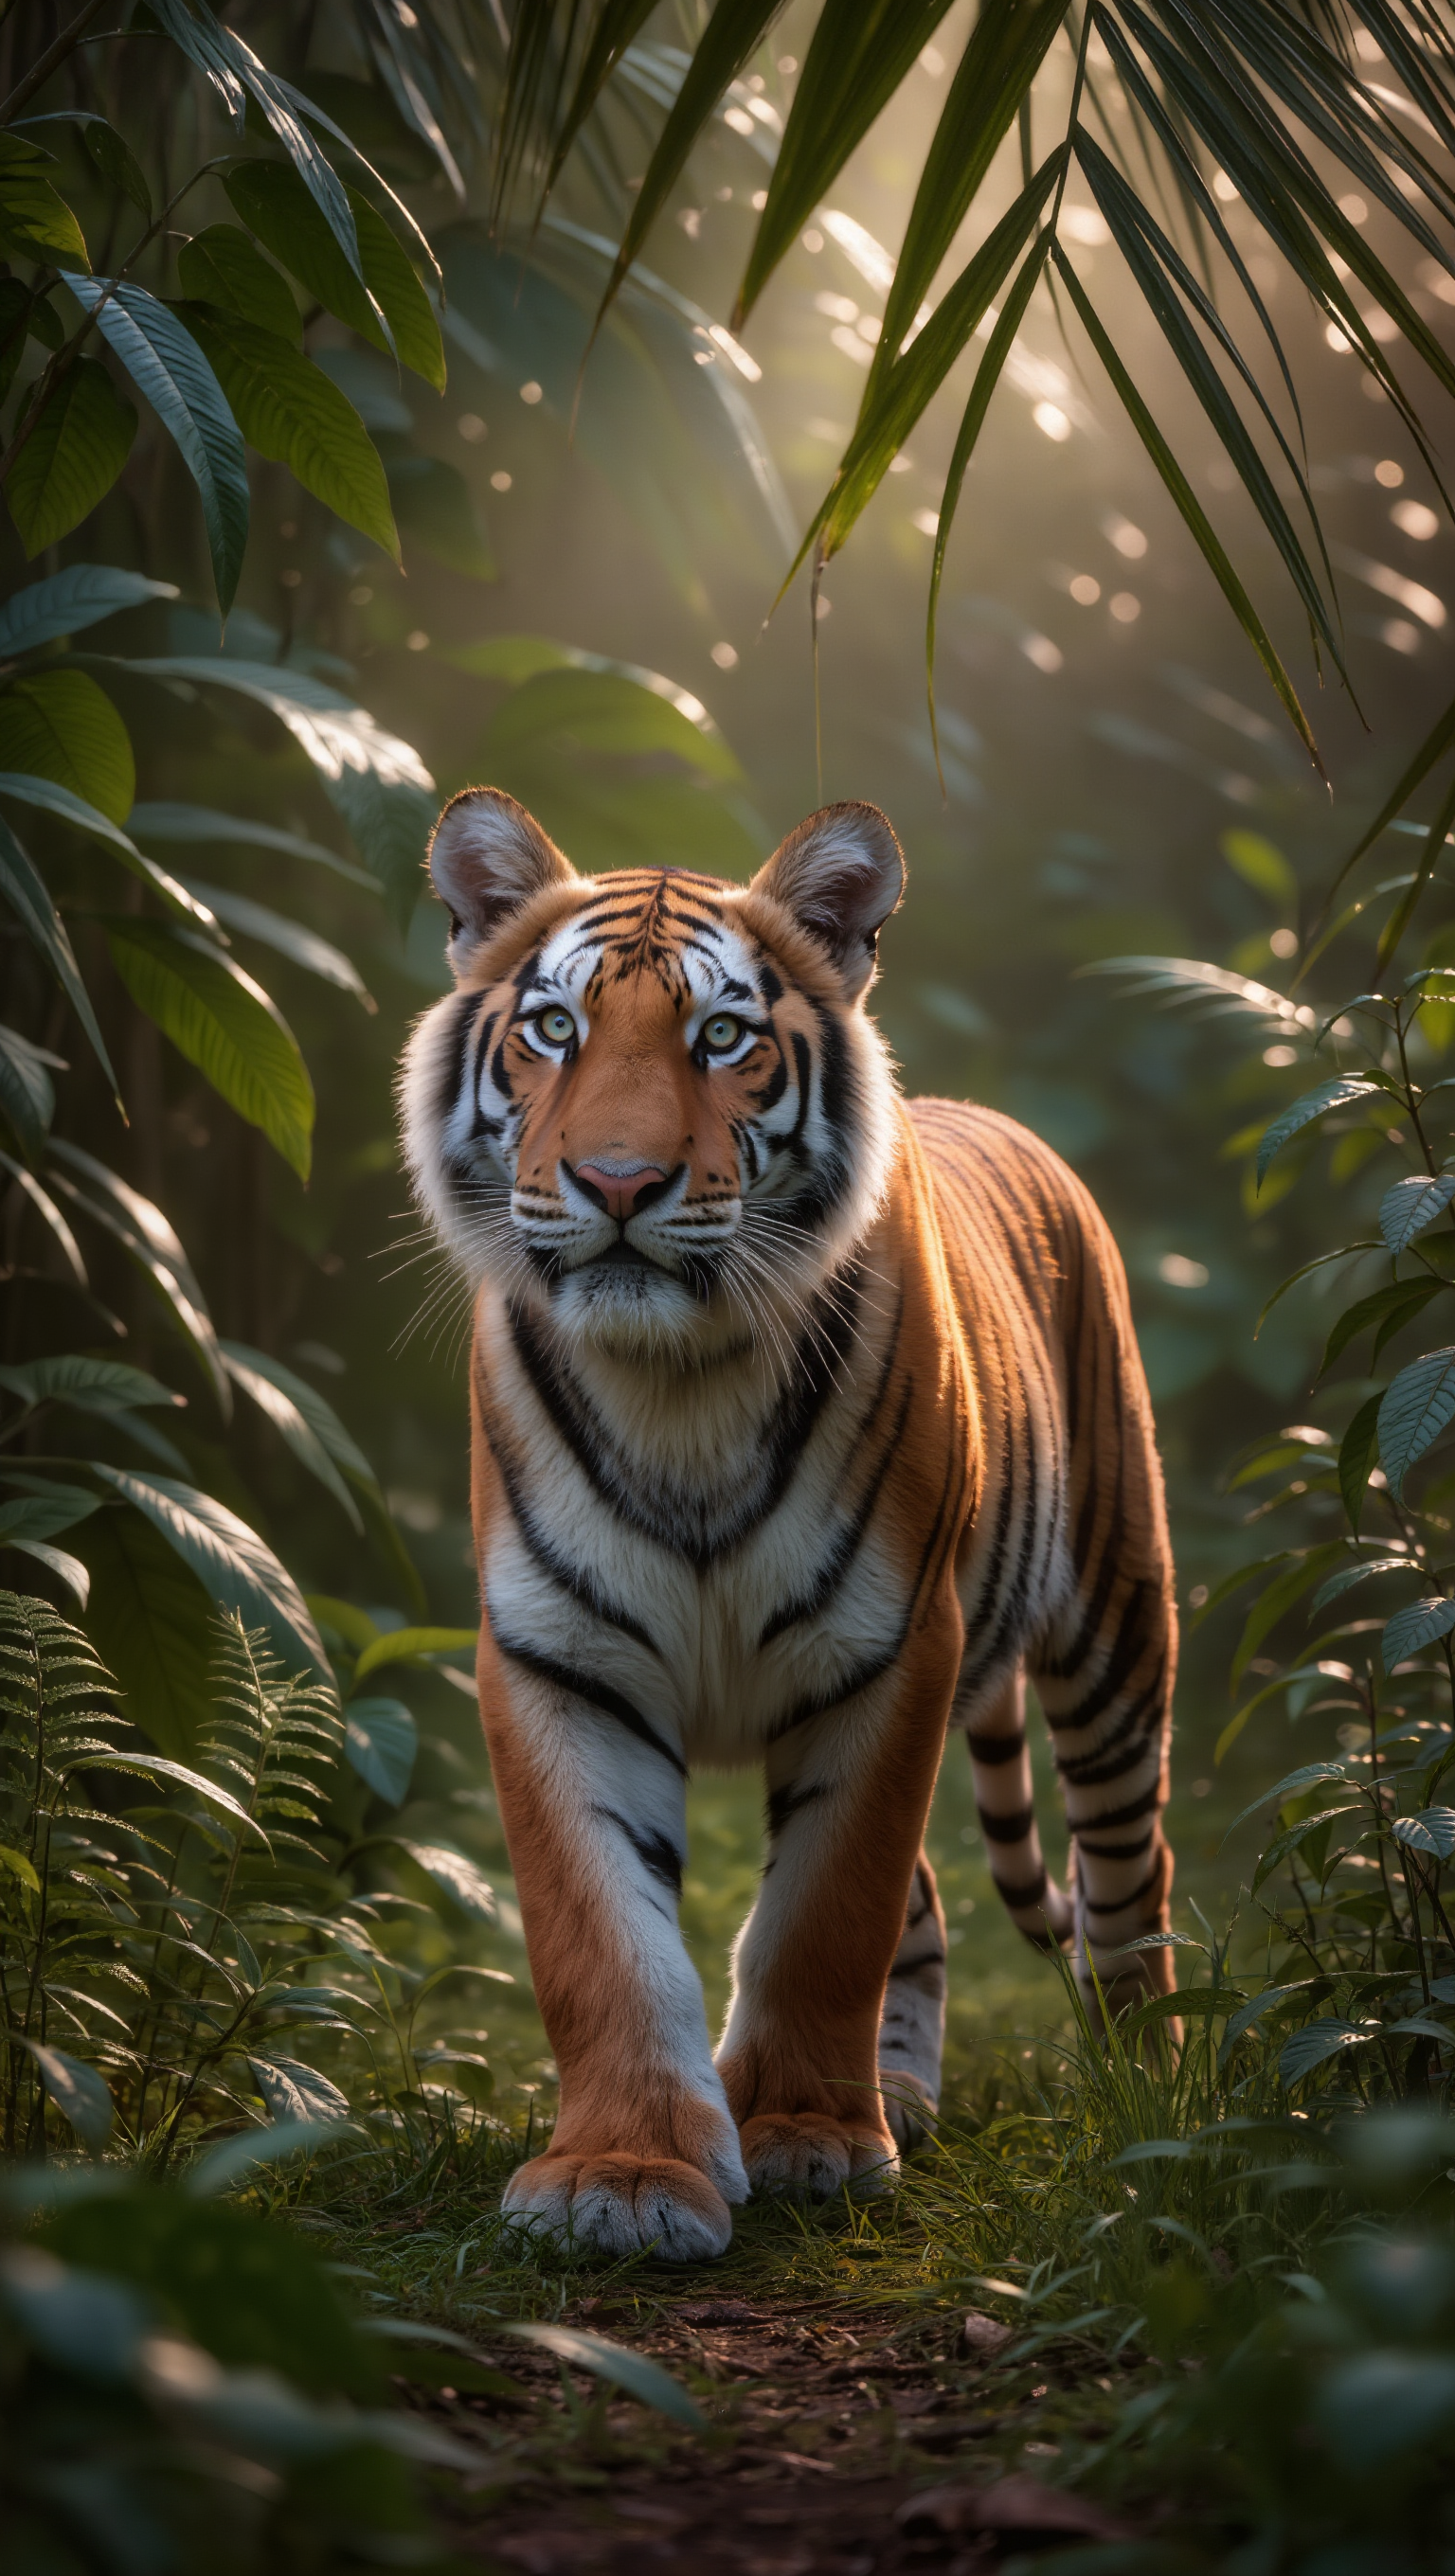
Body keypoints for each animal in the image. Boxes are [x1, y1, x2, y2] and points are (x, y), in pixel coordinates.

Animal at [400, 786, 1178, 2261]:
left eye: (723, 1036)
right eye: (554, 1028)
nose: (619, 1181)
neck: (678, 1385)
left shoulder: (890, 1646)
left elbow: (831, 1911)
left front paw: (807, 2139)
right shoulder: (556, 1657)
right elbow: (602, 1936)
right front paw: (621, 2176)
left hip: (1117, 1621)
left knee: (1126, 1865)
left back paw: (1151, 2091)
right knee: (936, 1905)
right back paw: (910, 2094)